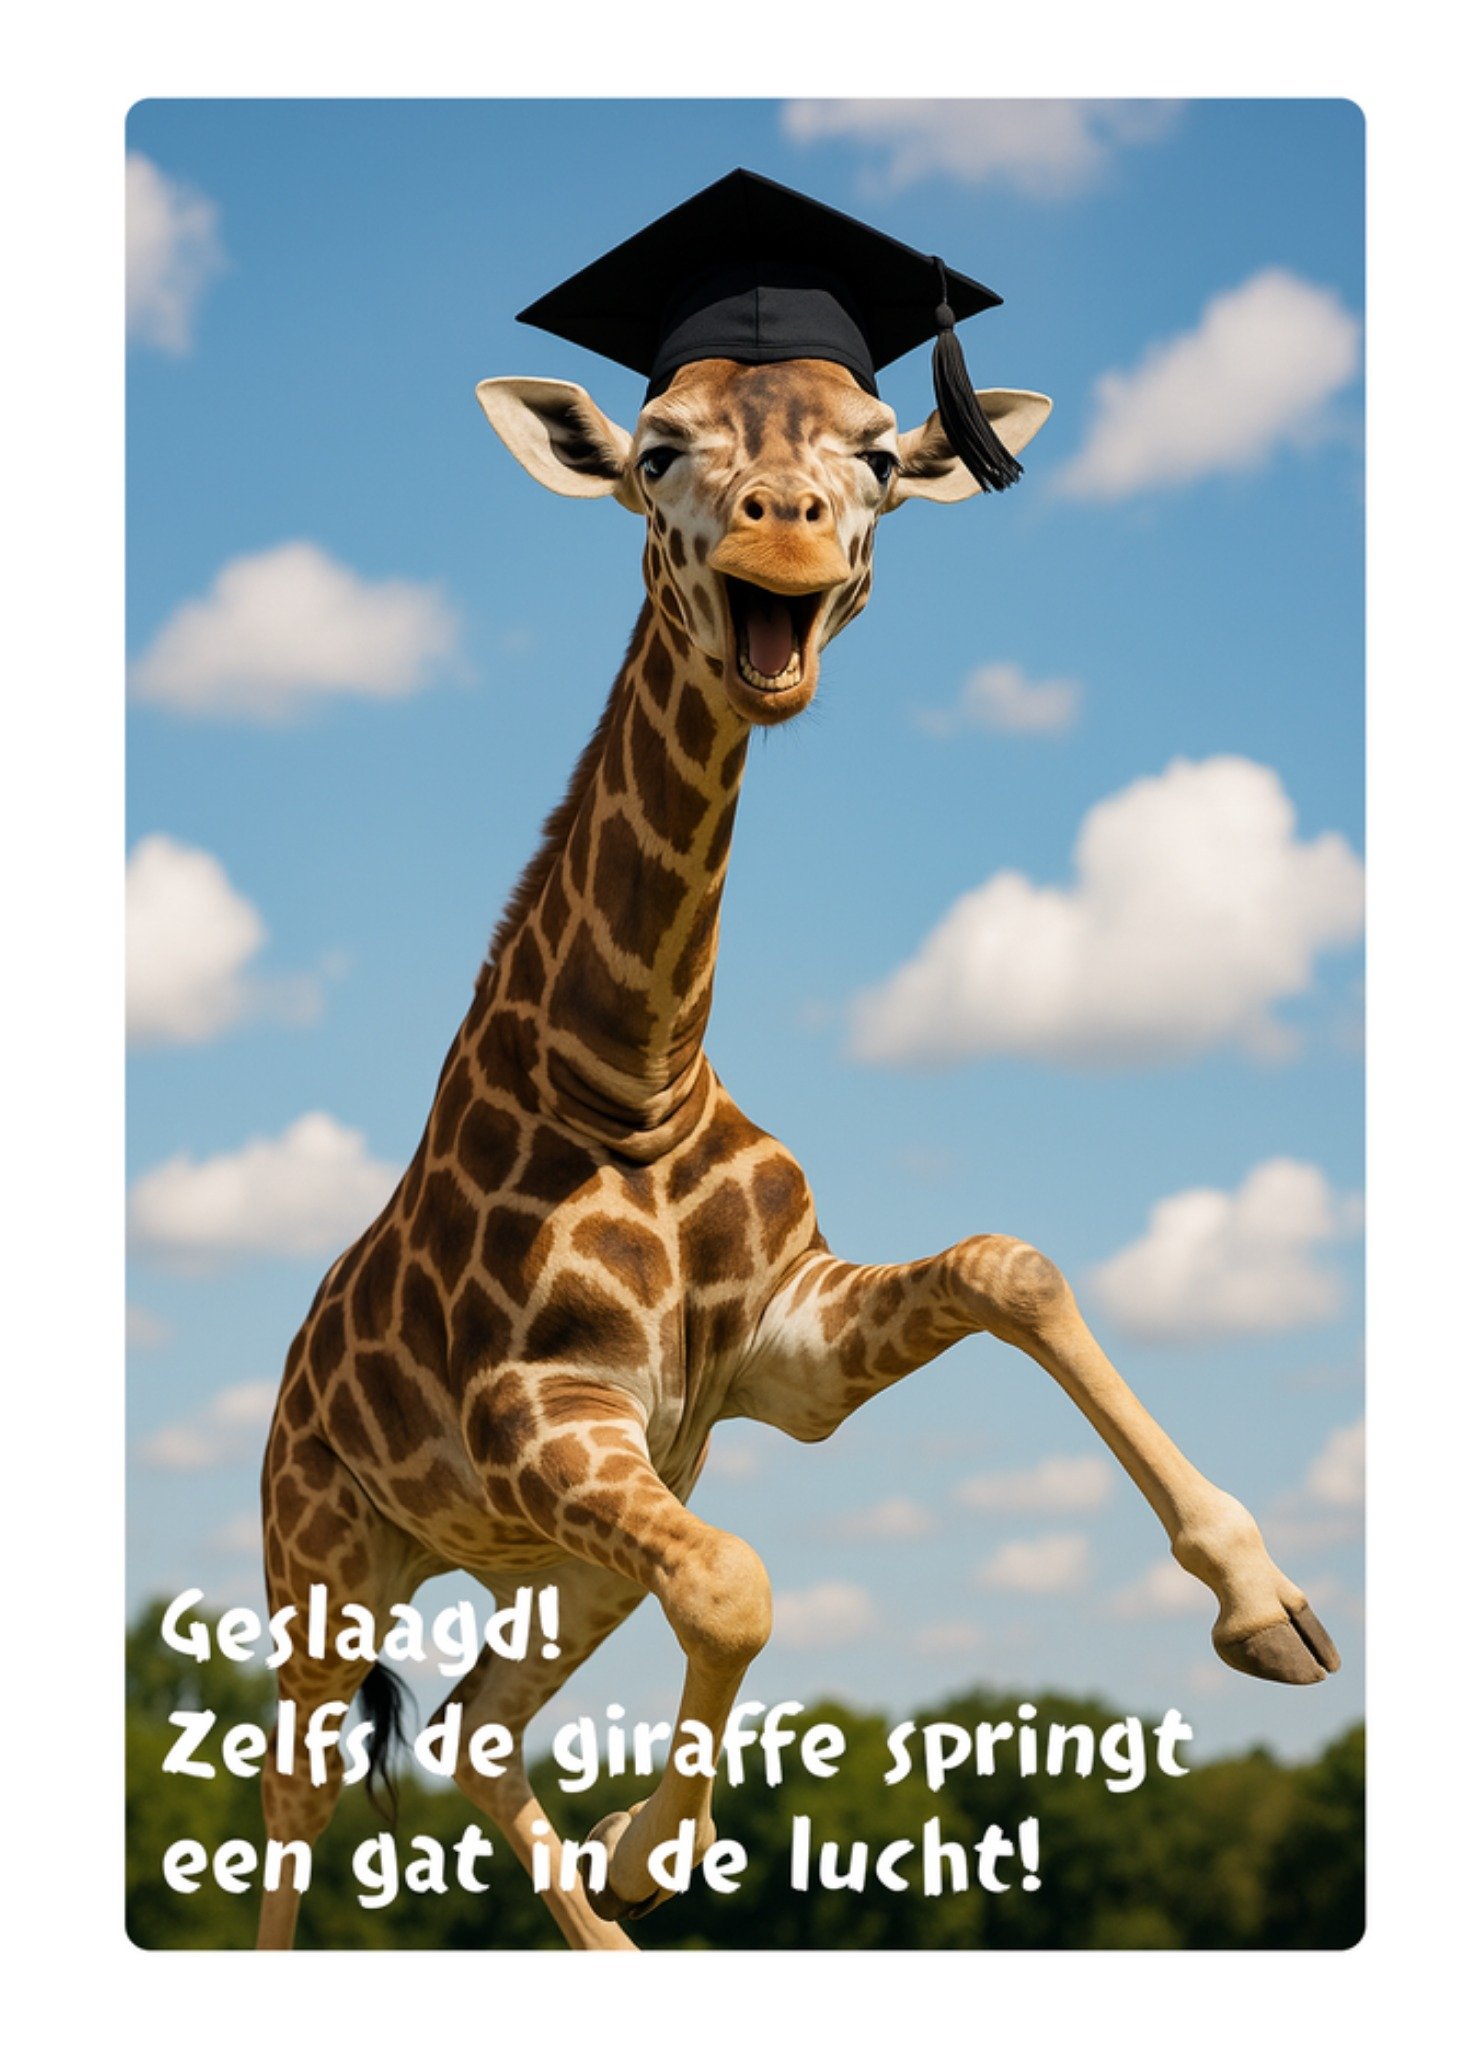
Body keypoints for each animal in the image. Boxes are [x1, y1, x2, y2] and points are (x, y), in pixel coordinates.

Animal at [256, 355, 1339, 1953]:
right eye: (656, 451)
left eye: (879, 455)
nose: (783, 530)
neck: (629, 1080)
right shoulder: (540, 1410)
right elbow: (736, 1586)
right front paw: (658, 1844)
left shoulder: (773, 1357)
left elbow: (1011, 1266)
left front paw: (1264, 1605)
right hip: (327, 1556)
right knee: (296, 1797)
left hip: (563, 1564)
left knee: (472, 1724)